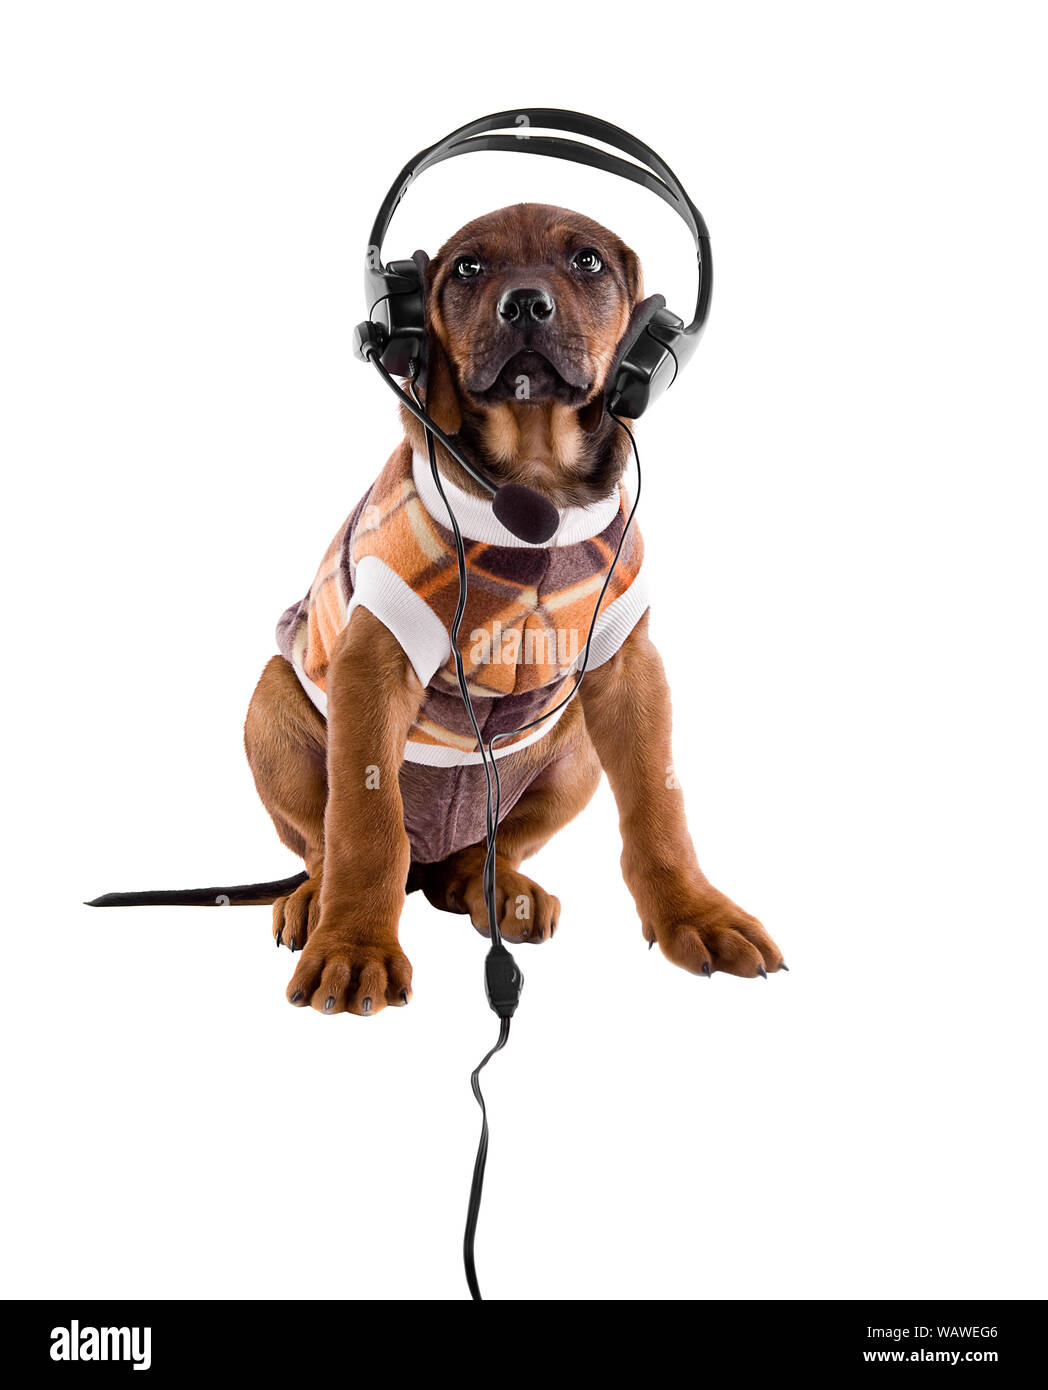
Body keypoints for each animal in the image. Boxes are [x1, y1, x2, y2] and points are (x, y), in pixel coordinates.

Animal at [243, 201, 783, 1017]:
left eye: (588, 262)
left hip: (574, 748)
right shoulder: (374, 661)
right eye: (469, 267)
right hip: (272, 698)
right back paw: (314, 903)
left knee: (481, 856)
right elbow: (366, 826)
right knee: (324, 845)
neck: (533, 489)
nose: (526, 304)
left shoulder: (629, 669)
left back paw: (501, 893)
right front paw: (355, 947)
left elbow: (659, 806)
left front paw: (696, 913)